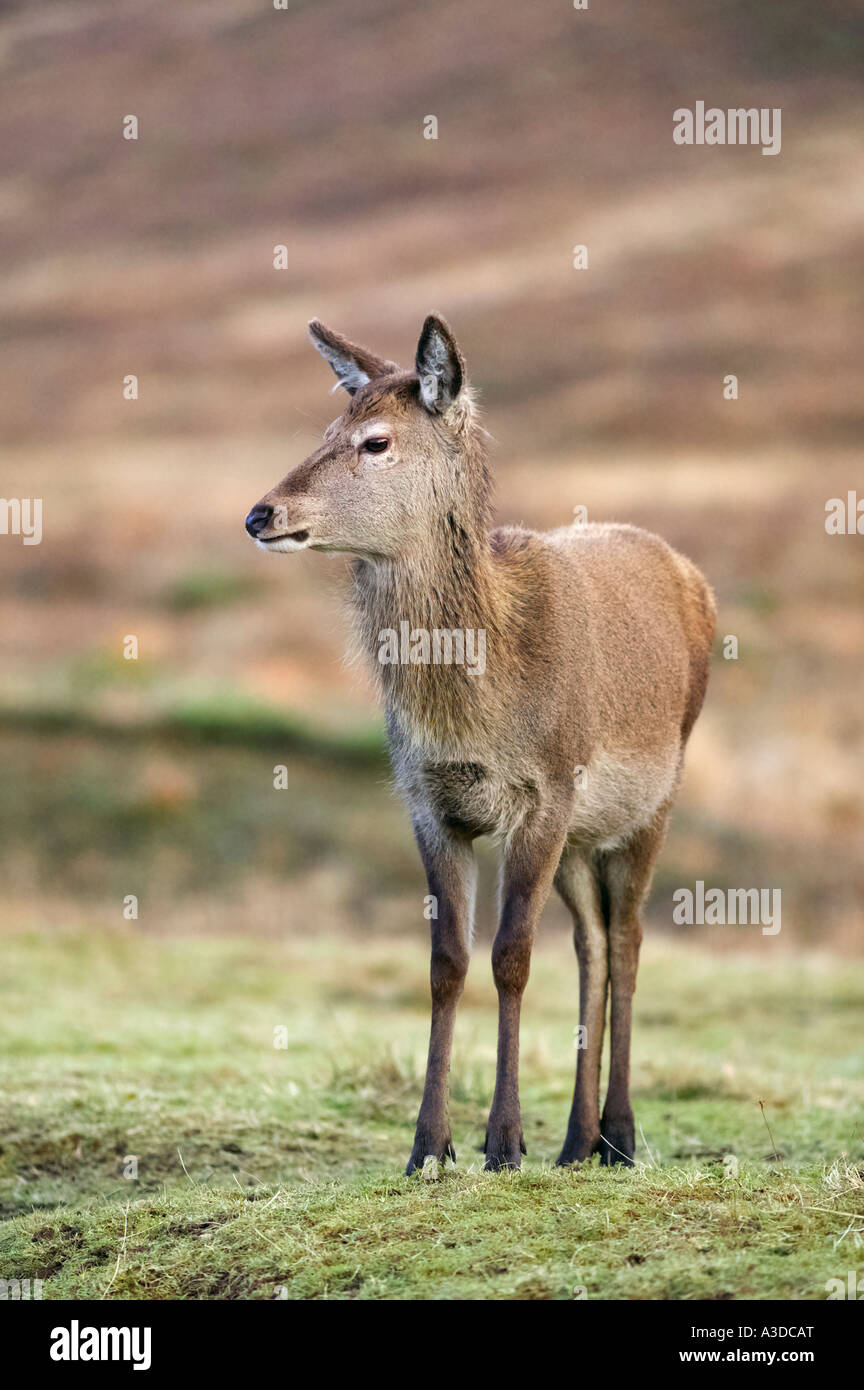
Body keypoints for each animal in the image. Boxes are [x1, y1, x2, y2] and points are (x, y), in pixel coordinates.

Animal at [245, 315, 715, 1174]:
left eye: (375, 441)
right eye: (324, 427)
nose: (261, 514)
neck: (477, 702)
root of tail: (691, 574)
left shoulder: (545, 791)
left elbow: (510, 957)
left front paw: (503, 1141)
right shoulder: (429, 803)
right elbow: (447, 962)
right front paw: (429, 1146)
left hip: (653, 798)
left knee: (627, 937)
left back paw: (620, 1134)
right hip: (581, 837)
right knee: (591, 942)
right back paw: (577, 1139)